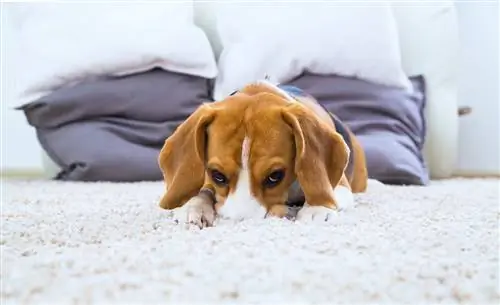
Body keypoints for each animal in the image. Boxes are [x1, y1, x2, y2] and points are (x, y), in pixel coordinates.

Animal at [158, 79, 370, 227]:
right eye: (217, 175)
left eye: (275, 176)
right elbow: (204, 190)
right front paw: (194, 206)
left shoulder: (341, 186)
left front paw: (317, 208)